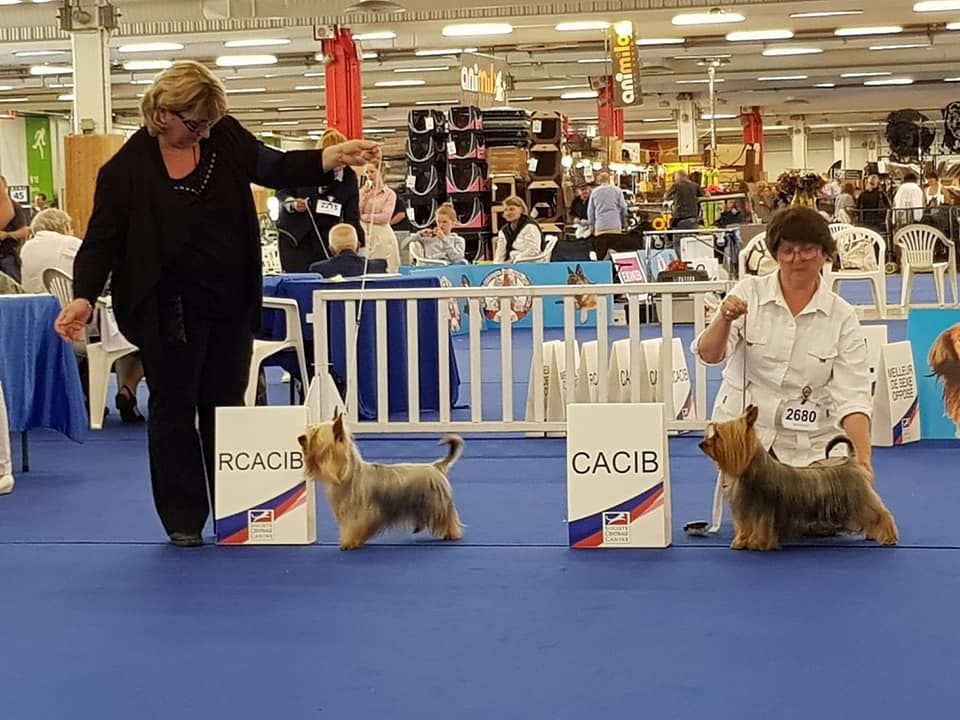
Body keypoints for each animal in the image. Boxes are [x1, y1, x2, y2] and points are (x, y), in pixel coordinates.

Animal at [298, 413, 464, 550]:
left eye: (315, 435)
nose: (300, 437)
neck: (347, 473)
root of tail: (436, 466)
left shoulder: (355, 512)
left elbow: (352, 526)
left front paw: (349, 542)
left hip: (437, 503)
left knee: (448, 518)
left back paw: (451, 534)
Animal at [699, 405, 898, 550]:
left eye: (718, 435)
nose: (702, 443)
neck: (751, 468)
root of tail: (851, 461)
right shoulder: (747, 511)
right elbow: (745, 527)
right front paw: (741, 542)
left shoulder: (762, 511)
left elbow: (760, 528)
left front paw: (757, 543)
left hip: (859, 500)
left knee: (881, 515)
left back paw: (889, 537)